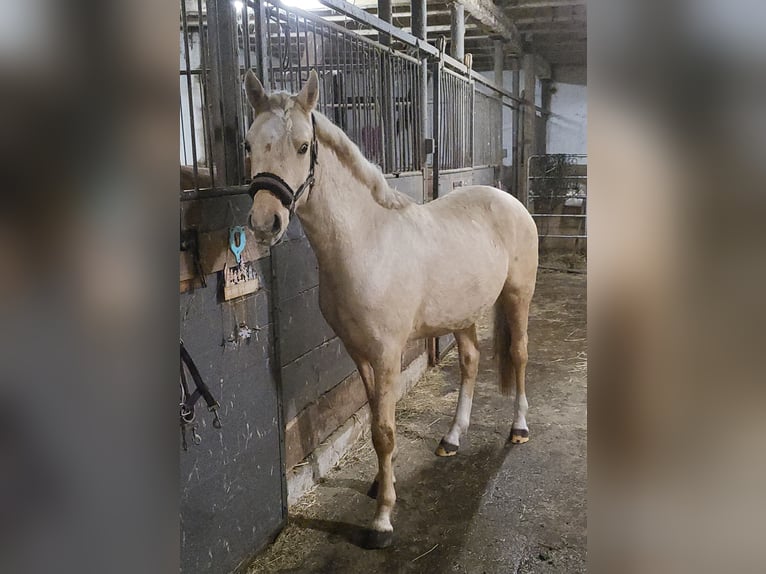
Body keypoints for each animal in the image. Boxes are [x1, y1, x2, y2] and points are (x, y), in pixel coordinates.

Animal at [243, 69, 538, 548]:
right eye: (249, 144)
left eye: (304, 146)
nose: (264, 223)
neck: (367, 241)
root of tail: (508, 200)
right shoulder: (359, 354)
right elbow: (376, 421)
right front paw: (383, 485)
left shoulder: (386, 355)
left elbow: (384, 431)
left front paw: (382, 519)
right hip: (462, 314)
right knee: (471, 361)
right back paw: (452, 438)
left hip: (517, 298)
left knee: (519, 355)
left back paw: (519, 429)